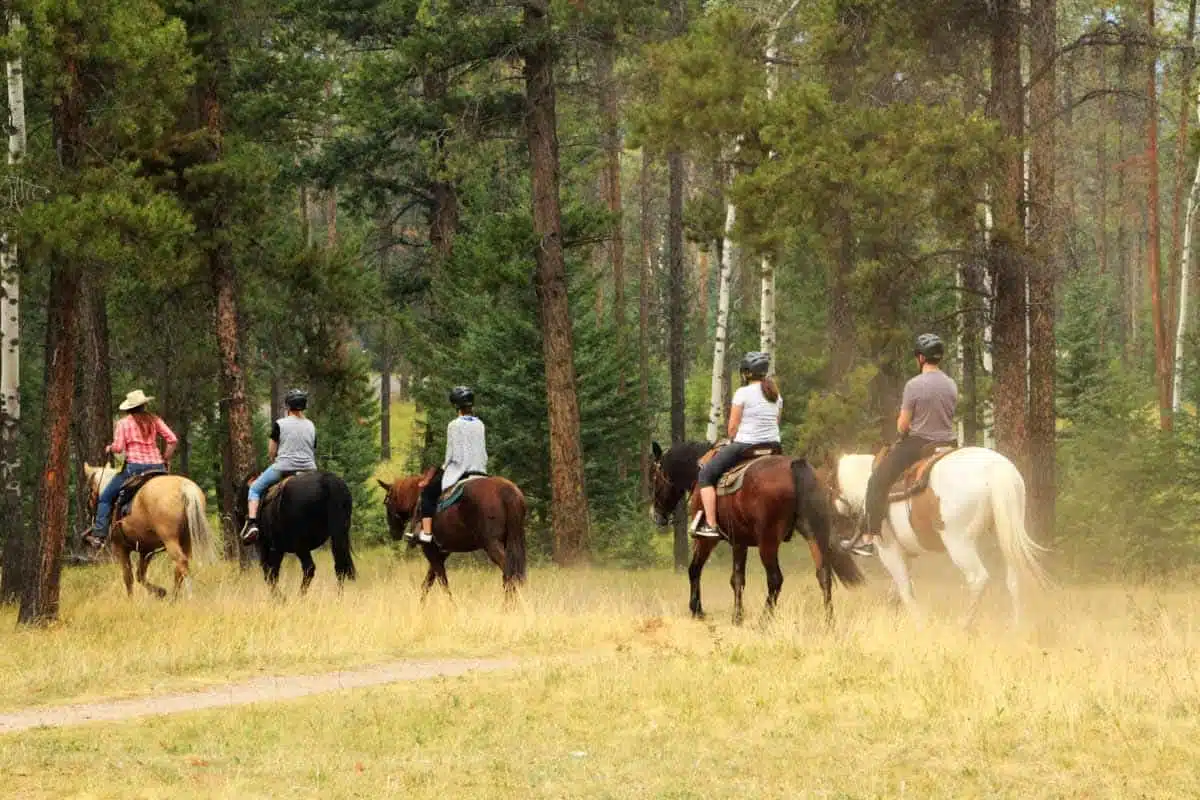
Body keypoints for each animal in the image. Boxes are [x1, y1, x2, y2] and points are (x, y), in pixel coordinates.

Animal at [376, 470, 523, 599]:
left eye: (386, 502)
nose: (393, 533)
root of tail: (507, 491)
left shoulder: (430, 550)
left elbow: (442, 583)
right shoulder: (443, 552)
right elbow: (428, 583)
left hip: (492, 545)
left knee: (509, 575)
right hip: (511, 540)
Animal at [648, 441, 864, 623]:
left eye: (655, 477)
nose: (656, 515)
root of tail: (795, 467)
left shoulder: (706, 539)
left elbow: (695, 569)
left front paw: (697, 610)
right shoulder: (739, 541)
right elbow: (737, 579)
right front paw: (737, 616)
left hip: (768, 542)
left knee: (776, 579)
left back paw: (764, 620)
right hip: (813, 534)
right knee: (824, 576)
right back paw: (829, 623)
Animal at [830, 450, 1046, 623]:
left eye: (830, 486)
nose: (837, 538)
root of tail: (996, 469)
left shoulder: (889, 551)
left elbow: (905, 591)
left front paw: (919, 624)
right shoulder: (906, 555)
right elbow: (897, 591)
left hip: (959, 543)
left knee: (978, 578)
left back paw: (964, 624)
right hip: (1004, 537)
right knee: (1014, 580)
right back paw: (1016, 627)